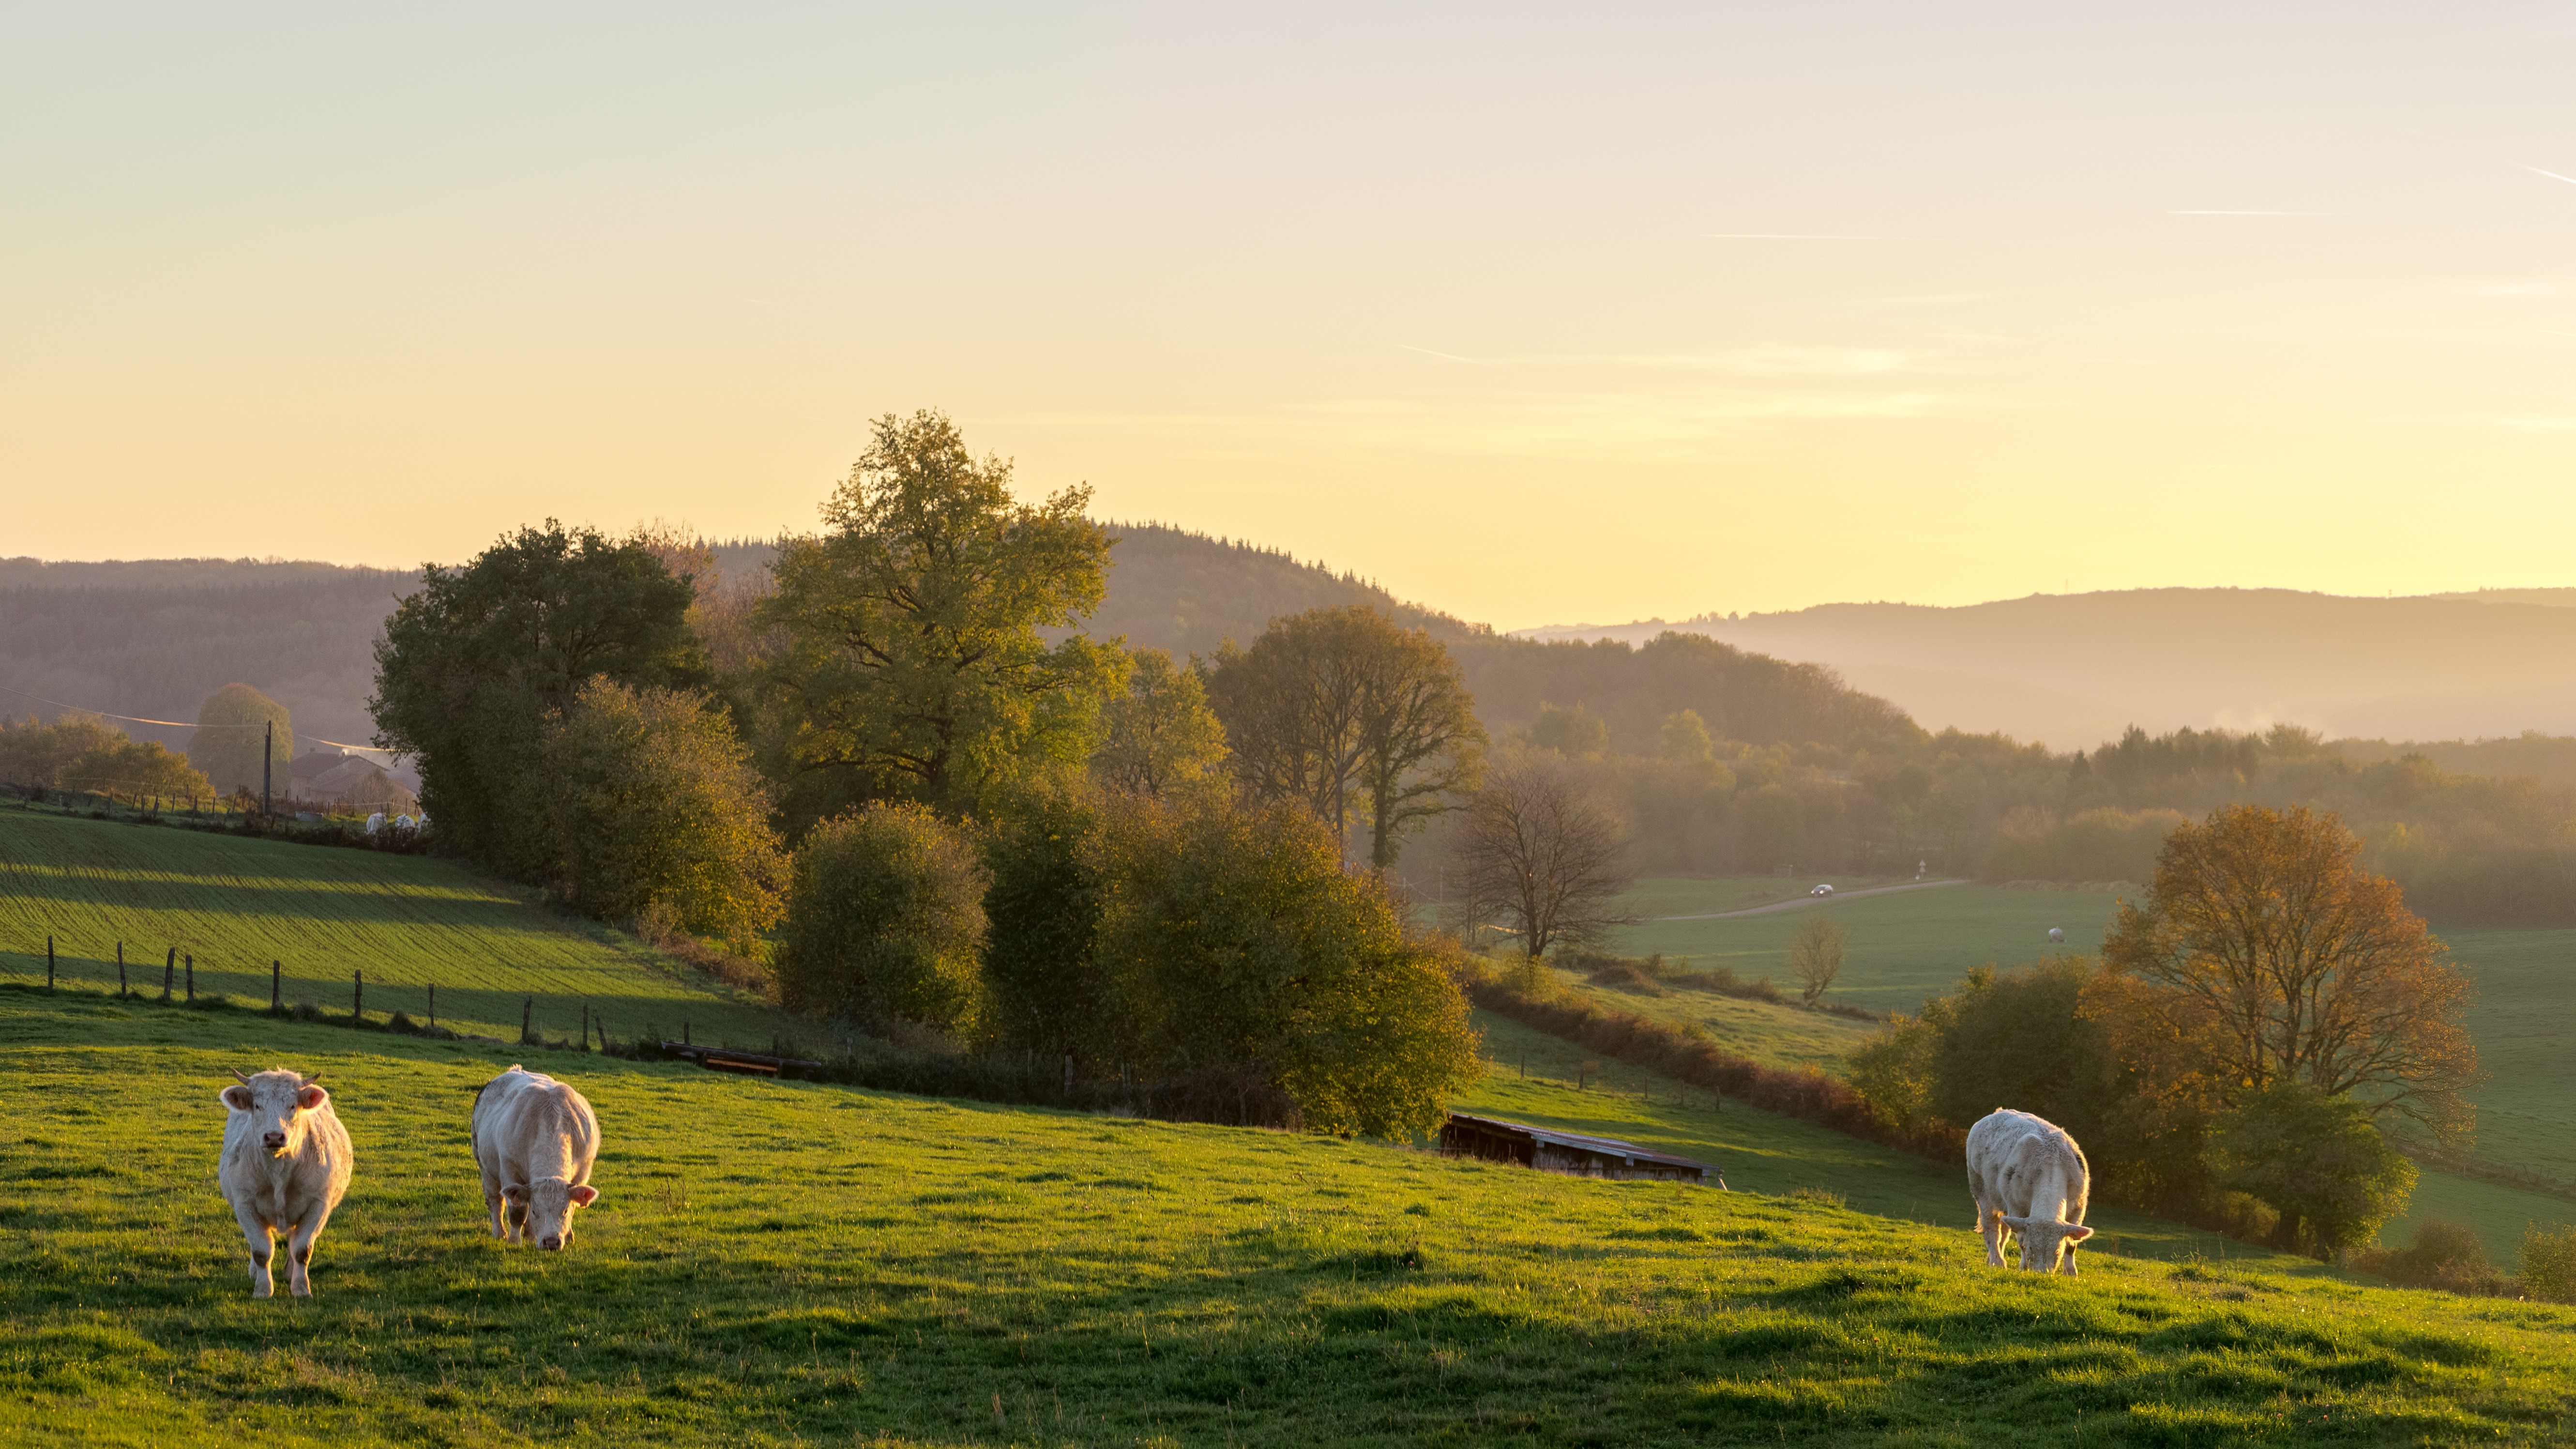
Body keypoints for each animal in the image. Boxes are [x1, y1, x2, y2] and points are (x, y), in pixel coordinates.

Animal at [217, 1062, 355, 1299]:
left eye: (292, 1106)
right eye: (257, 1106)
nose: (274, 1137)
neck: (279, 1172)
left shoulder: (319, 1205)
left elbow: (302, 1250)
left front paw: (300, 1288)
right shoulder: (244, 1204)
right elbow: (261, 1251)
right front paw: (263, 1290)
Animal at [469, 1057, 597, 1248]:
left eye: (564, 1210)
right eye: (537, 1211)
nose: (551, 1242)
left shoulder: (583, 1171)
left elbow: (574, 1204)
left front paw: (568, 1236)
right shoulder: (510, 1170)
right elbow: (518, 1211)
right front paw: (514, 1240)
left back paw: (530, 1235)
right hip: (486, 1167)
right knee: (495, 1200)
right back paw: (500, 1232)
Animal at [1968, 1098, 2091, 1268]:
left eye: (2057, 1251)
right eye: (2031, 1248)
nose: (2041, 1272)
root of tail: (1997, 1112)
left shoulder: (2079, 1207)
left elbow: (2071, 1244)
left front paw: (2071, 1272)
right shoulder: (2016, 1206)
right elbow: (2020, 1239)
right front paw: (2023, 1267)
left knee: (2004, 1231)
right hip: (1979, 1187)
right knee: (1992, 1227)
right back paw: (1997, 1262)